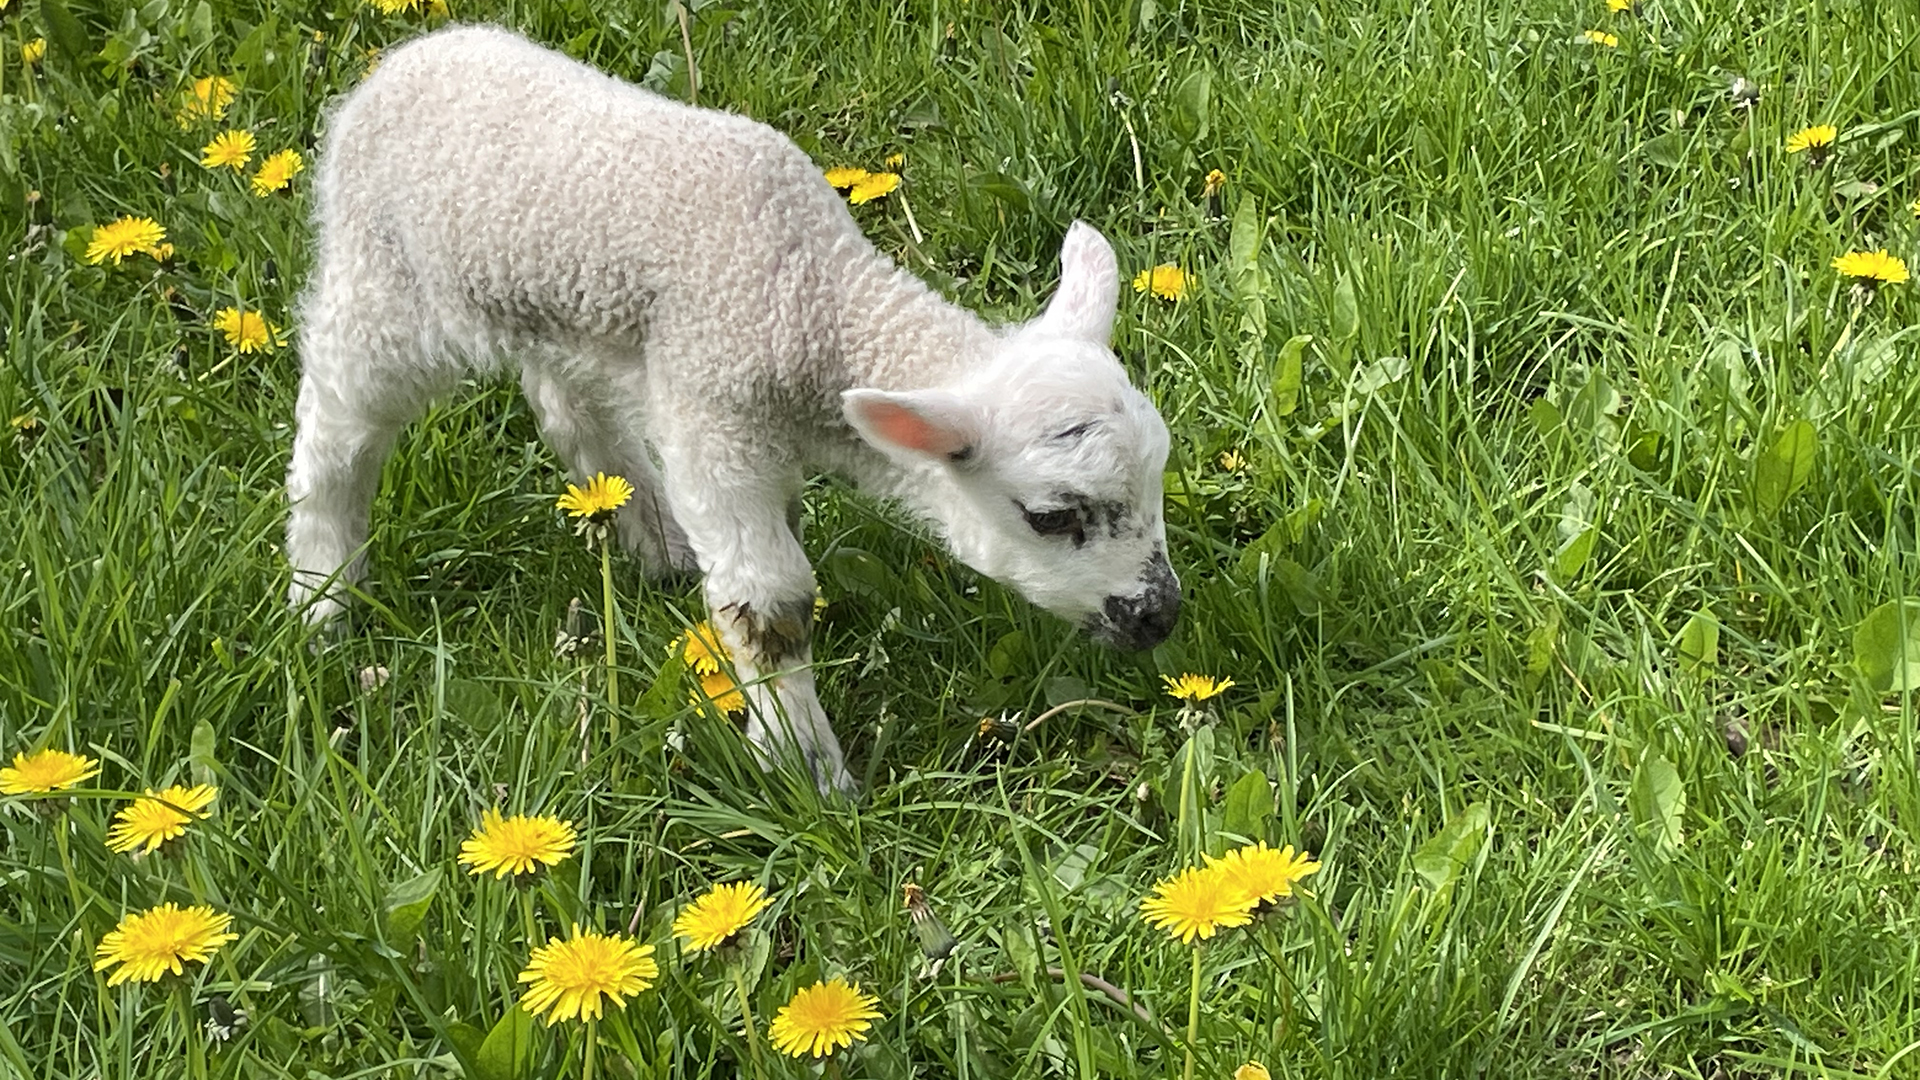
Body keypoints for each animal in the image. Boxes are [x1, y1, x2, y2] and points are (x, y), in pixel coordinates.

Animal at [284, 21, 1182, 787]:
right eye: (1051, 518)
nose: (1158, 618)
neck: (812, 299)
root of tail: (400, 60)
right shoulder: (716, 410)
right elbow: (770, 601)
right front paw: (804, 773)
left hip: (556, 309)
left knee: (569, 406)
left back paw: (656, 542)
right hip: (380, 284)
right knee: (336, 430)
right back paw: (321, 598)